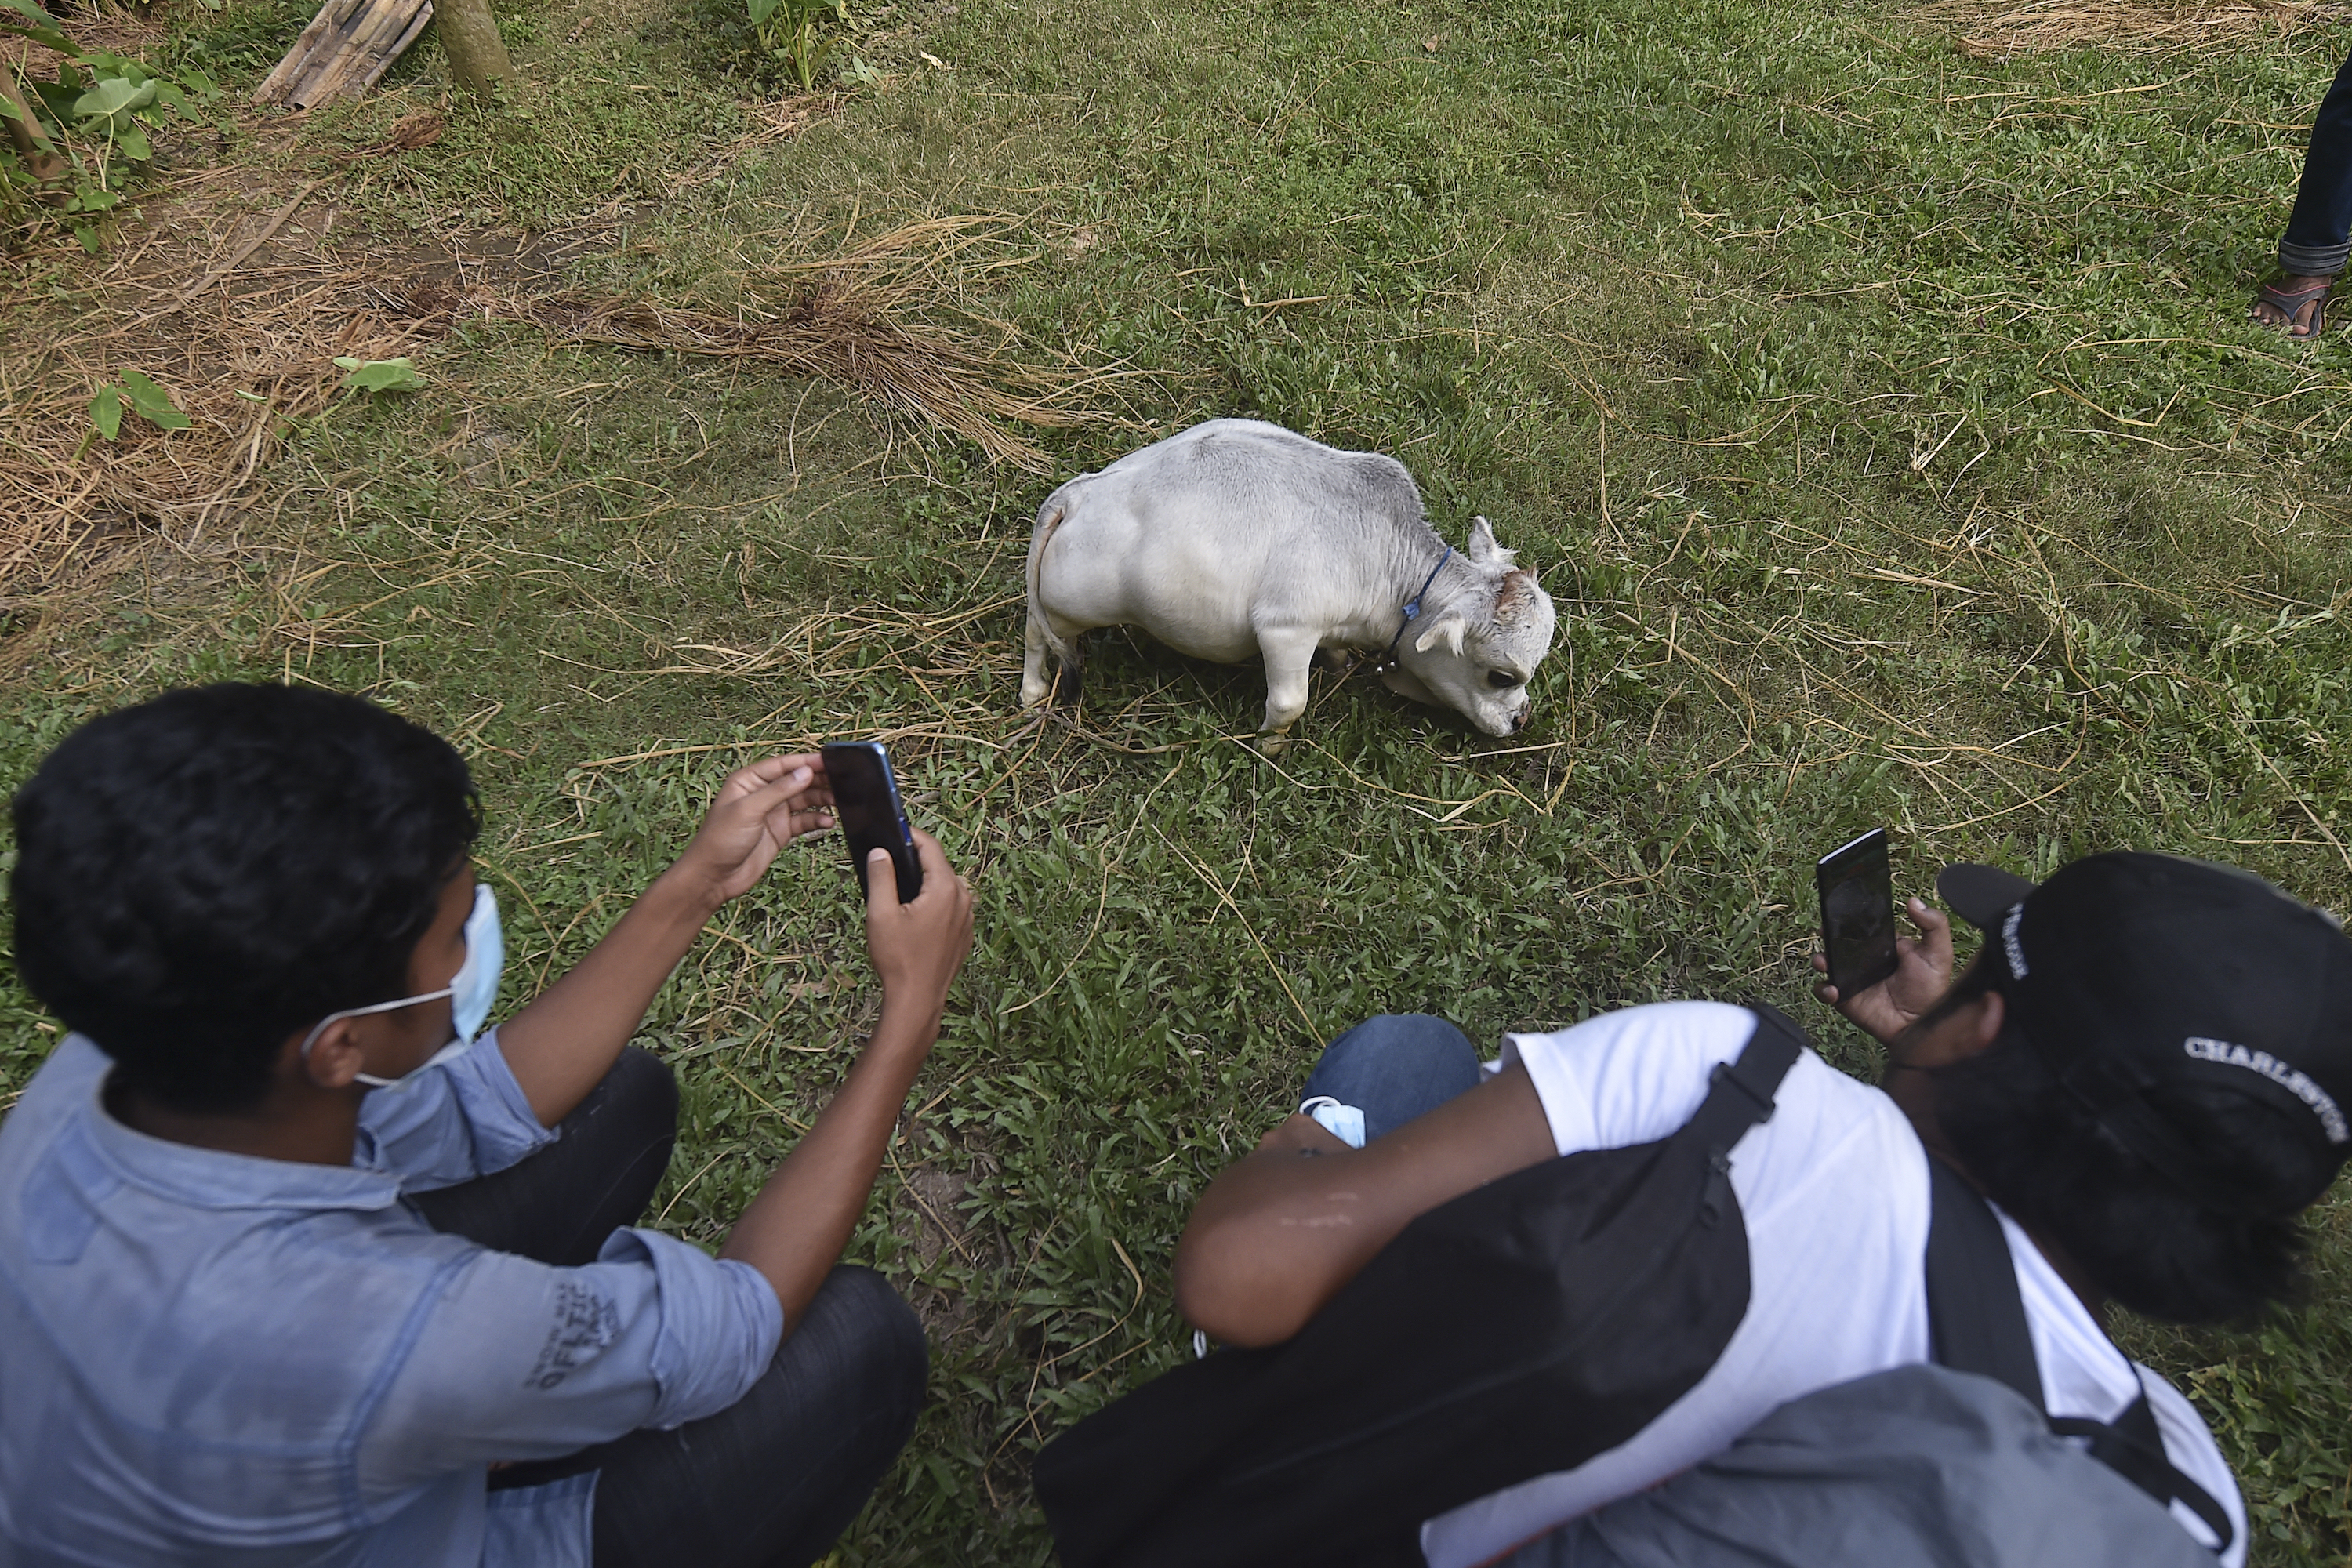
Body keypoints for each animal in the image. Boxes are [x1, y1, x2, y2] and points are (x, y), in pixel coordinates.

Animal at [1016, 420, 1552, 747]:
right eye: (1501, 677)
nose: (1522, 717)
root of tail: (1081, 491)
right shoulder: (1286, 627)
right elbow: (1289, 704)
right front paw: (1267, 746)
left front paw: (1338, 664)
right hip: (1072, 606)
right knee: (1039, 635)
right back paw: (1033, 691)